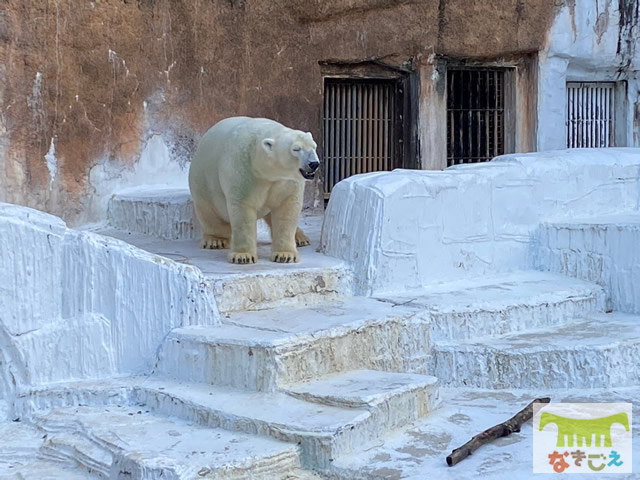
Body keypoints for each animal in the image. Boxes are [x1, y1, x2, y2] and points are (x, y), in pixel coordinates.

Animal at [189, 117, 320, 264]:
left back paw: (300, 238)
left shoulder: (286, 181)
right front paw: (242, 256)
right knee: (210, 213)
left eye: (314, 146)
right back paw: (215, 241)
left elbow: (287, 210)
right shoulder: (243, 171)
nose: (314, 164)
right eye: (296, 149)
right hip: (203, 182)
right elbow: (243, 210)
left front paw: (285, 255)